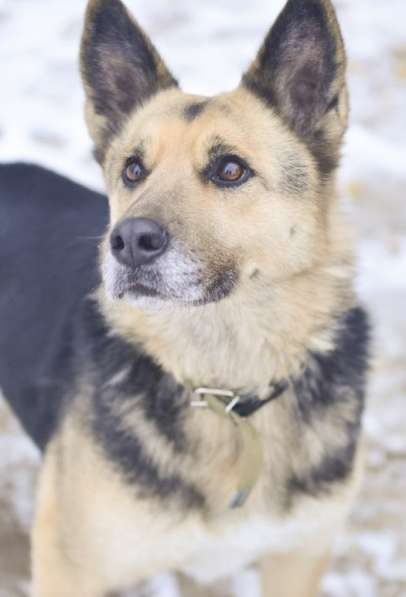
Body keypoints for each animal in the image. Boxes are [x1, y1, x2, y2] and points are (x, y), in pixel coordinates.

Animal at [0, 0, 370, 592]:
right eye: (132, 169)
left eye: (230, 169)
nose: (128, 241)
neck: (226, 390)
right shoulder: (67, 565)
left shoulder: (298, 556)